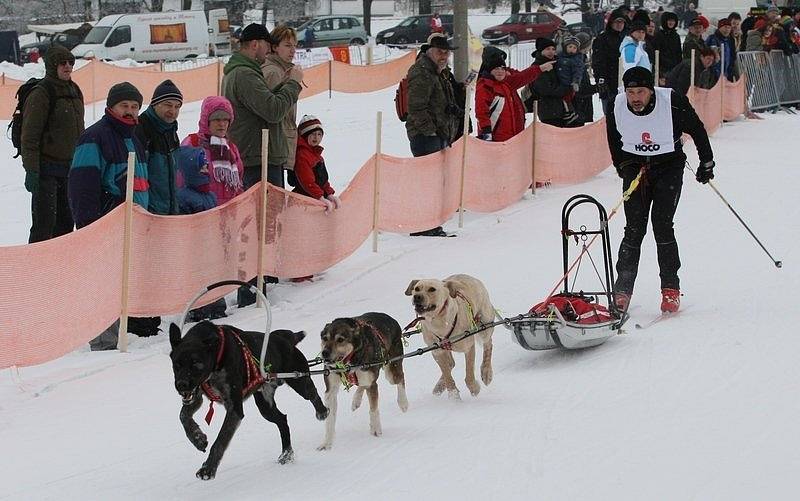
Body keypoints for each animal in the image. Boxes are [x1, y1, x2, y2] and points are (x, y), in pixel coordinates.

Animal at [169, 322, 328, 478]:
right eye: (177, 365)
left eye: (196, 363)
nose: (181, 384)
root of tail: (283, 339)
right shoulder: (196, 397)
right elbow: (183, 416)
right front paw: (197, 438)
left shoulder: (234, 408)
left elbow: (220, 441)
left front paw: (208, 468)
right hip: (265, 407)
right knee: (282, 420)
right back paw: (286, 454)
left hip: (299, 380)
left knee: (313, 394)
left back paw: (322, 411)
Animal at [318, 312, 410, 450]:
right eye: (325, 338)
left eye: (340, 339)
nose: (324, 353)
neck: (348, 362)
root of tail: (390, 318)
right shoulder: (330, 391)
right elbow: (330, 420)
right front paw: (327, 443)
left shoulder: (372, 385)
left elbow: (373, 409)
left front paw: (376, 429)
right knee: (361, 385)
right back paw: (356, 400)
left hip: (391, 372)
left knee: (400, 378)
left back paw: (403, 403)